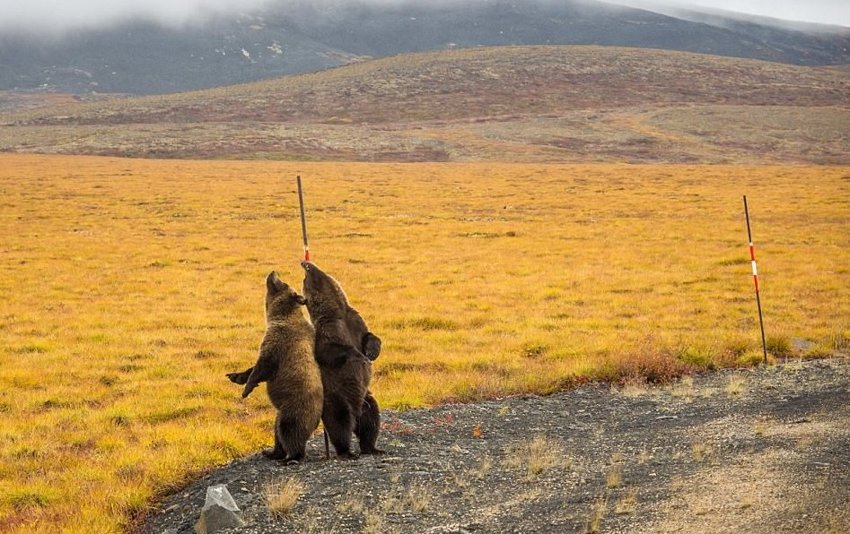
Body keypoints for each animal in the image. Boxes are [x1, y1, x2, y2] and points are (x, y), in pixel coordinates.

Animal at [227, 272, 322, 464]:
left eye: (283, 283)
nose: (273, 273)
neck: (279, 316)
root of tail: (318, 419)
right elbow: (255, 369)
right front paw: (236, 376)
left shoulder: (279, 342)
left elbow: (263, 366)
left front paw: (246, 389)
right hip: (282, 412)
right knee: (277, 430)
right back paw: (272, 452)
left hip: (294, 407)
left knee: (289, 430)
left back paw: (291, 457)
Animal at [296, 262, 380, 458]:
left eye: (309, 269)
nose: (305, 263)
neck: (337, 309)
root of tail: (356, 411)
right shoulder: (328, 329)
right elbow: (329, 350)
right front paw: (359, 356)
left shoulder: (355, 321)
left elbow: (369, 335)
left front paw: (371, 351)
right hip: (338, 398)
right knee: (339, 424)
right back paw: (347, 451)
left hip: (366, 398)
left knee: (371, 420)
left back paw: (373, 448)